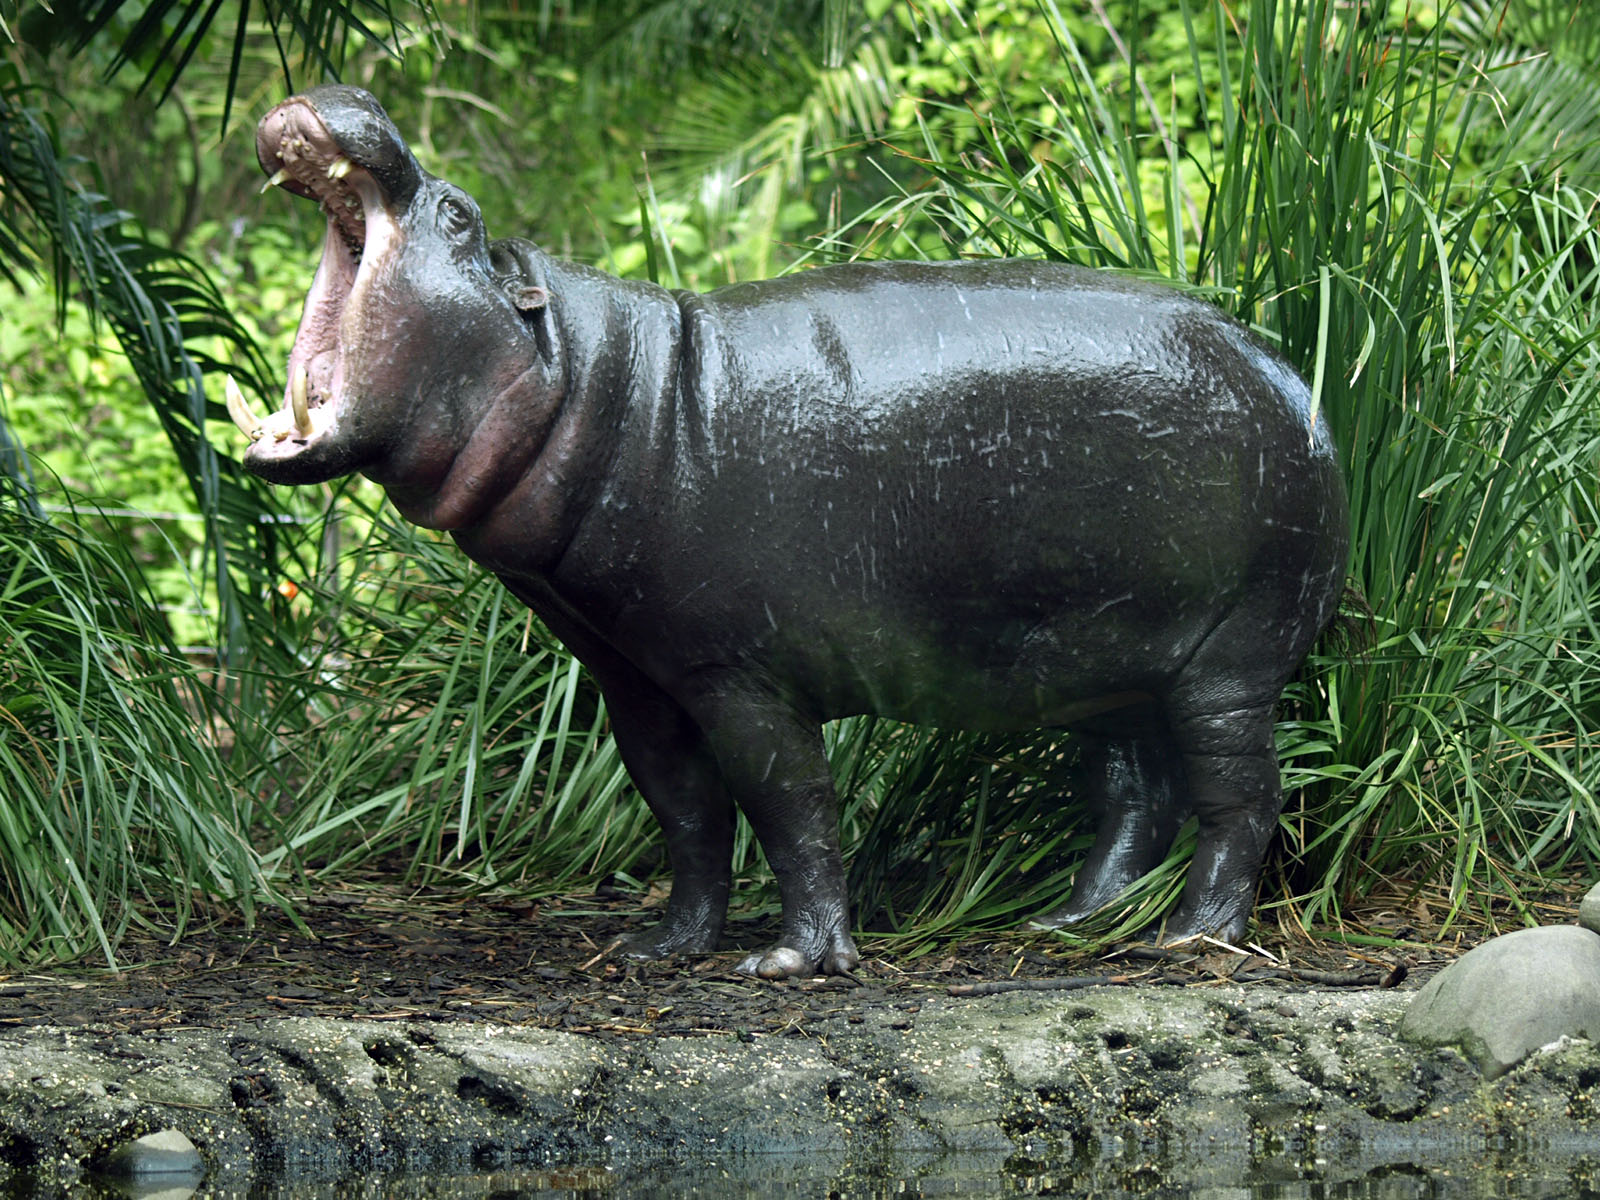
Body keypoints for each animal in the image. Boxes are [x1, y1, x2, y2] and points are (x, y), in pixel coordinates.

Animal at [231, 86, 1349, 978]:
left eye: (458, 213)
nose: (352, 94)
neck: (598, 384)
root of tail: (1298, 382)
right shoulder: (639, 677)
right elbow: (684, 813)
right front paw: (656, 949)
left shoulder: (742, 673)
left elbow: (789, 806)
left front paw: (791, 962)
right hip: (1103, 654)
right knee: (1134, 792)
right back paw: (1065, 928)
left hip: (1229, 658)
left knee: (1240, 797)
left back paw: (1192, 939)